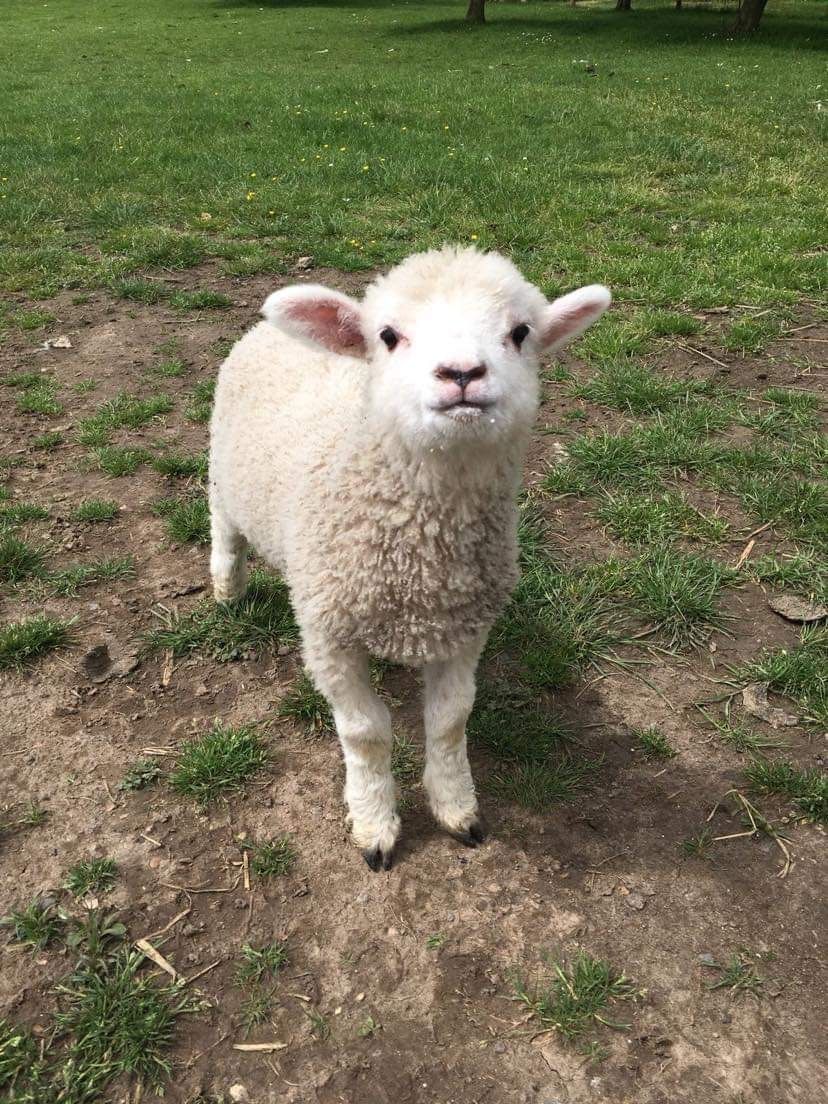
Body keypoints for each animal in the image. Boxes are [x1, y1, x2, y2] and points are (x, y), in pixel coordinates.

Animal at [208, 246, 610, 870]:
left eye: (521, 333)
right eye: (389, 336)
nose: (462, 373)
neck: (421, 558)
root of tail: (265, 327)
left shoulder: (464, 629)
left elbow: (450, 720)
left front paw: (456, 806)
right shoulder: (329, 635)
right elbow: (365, 732)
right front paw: (375, 822)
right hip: (223, 470)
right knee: (224, 525)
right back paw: (227, 587)